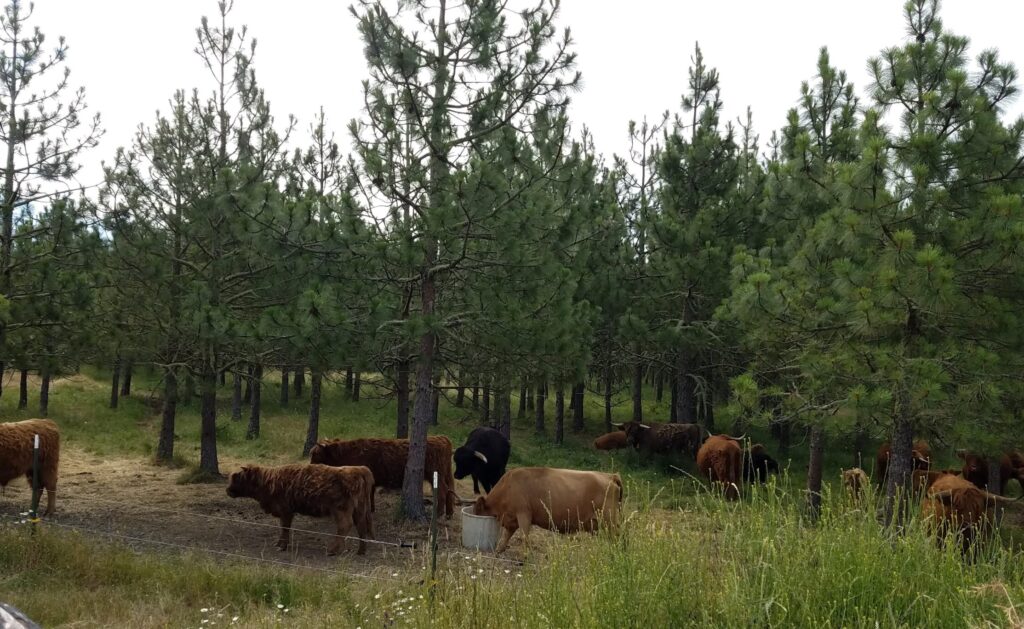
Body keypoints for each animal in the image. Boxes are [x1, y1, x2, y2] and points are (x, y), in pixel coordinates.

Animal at [226, 464, 375, 555]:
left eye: (237, 478)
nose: (228, 490)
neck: (269, 481)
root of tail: (359, 469)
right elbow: (284, 528)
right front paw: (279, 544)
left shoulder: (285, 511)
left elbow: (284, 528)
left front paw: (282, 546)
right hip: (359, 509)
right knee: (361, 526)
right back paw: (361, 551)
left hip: (341, 509)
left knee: (345, 526)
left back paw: (332, 550)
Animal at [309, 435, 456, 517]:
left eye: (316, 454)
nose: (310, 466)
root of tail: (441, 438)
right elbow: (371, 494)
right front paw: (372, 509)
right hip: (446, 473)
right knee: (450, 490)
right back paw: (449, 513)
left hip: (435, 474)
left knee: (443, 490)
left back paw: (439, 513)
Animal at [472, 467, 623, 554]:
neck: (508, 486)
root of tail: (611, 476)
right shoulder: (512, 519)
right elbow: (507, 535)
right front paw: (499, 549)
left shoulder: (524, 514)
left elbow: (524, 536)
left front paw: (525, 556)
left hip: (609, 521)